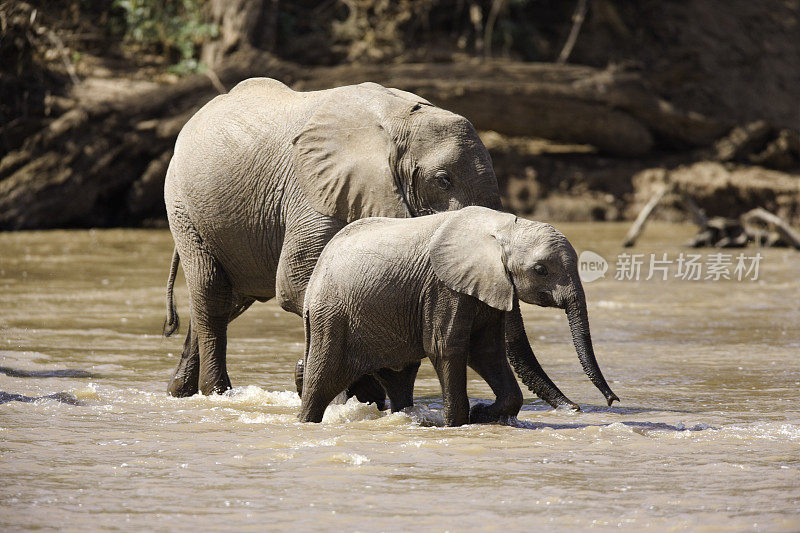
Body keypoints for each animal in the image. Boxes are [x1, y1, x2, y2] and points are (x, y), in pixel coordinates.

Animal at [162, 77, 576, 410]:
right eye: (443, 180)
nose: (575, 408)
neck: (398, 121)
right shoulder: (312, 192)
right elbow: (295, 287)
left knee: (228, 301)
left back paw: (178, 392)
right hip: (182, 203)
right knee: (212, 293)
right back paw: (216, 394)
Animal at [296, 204, 616, 424]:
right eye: (541, 270)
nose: (612, 400)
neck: (504, 228)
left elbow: (487, 351)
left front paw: (482, 414)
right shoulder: (442, 287)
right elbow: (445, 348)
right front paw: (460, 422)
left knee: (398, 380)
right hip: (331, 316)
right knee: (321, 382)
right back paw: (306, 421)